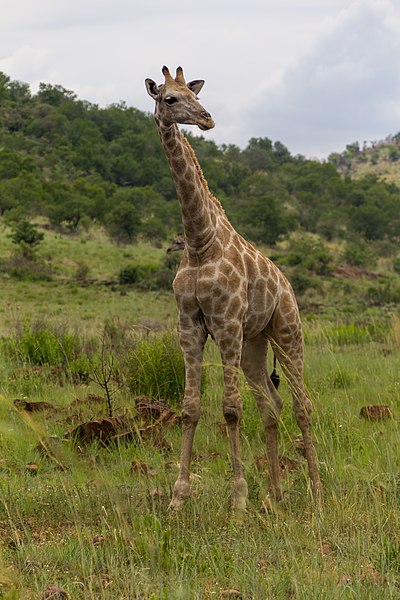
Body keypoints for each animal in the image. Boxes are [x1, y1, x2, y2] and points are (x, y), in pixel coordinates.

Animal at [145, 68, 322, 512]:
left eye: (194, 93)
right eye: (170, 98)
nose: (207, 118)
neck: (198, 241)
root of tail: (288, 286)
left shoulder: (224, 323)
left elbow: (230, 409)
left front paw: (238, 500)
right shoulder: (189, 325)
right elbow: (190, 408)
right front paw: (178, 499)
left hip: (287, 332)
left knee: (302, 405)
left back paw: (315, 493)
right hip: (254, 344)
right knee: (272, 405)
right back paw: (275, 495)